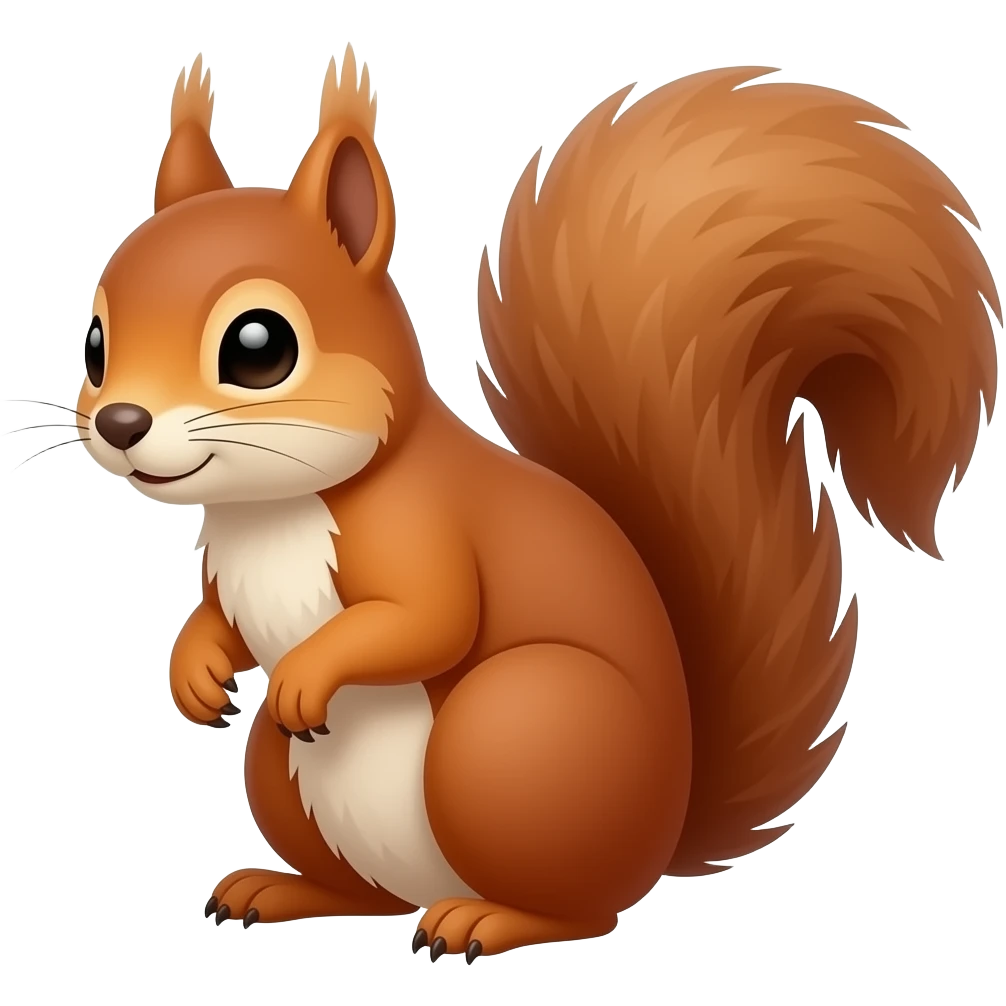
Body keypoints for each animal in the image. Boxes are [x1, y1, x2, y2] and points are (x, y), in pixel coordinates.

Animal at [78, 51, 999, 961]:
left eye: (259, 346)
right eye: (94, 344)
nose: (121, 423)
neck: (273, 509)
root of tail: (661, 835)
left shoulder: (424, 529)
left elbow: (429, 618)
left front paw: (304, 673)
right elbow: (221, 619)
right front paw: (195, 670)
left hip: (514, 732)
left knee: (581, 908)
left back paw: (486, 922)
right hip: (285, 772)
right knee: (367, 894)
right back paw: (284, 889)